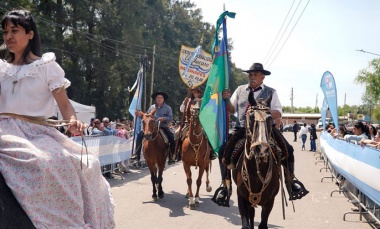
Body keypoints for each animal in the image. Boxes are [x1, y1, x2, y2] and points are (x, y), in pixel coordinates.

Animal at [233, 93, 284, 229]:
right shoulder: (242, 199)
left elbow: (263, 224)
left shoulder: (269, 202)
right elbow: (246, 225)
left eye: (270, 118)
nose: (261, 150)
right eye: (250, 117)